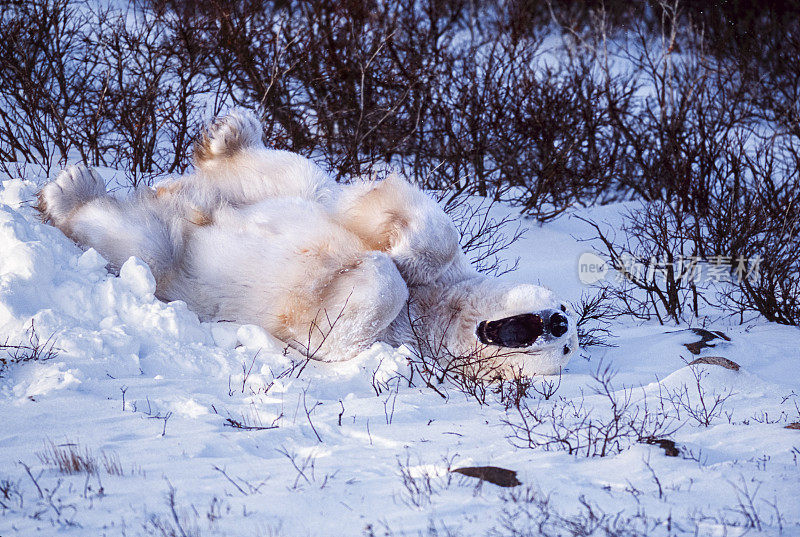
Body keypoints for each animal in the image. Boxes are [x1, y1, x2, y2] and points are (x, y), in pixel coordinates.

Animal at [37, 109, 580, 376]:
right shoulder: (438, 271)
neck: (439, 313)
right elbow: (408, 218)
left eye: (567, 349)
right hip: (245, 195)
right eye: (565, 312)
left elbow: (338, 327)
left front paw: (379, 268)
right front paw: (397, 249)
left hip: (170, 259)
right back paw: (227, 134)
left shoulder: (394, 342)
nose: (556, 323)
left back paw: (68, 192)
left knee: (137, 243)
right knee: (290, 176)